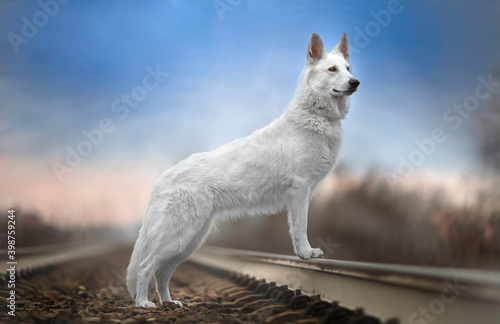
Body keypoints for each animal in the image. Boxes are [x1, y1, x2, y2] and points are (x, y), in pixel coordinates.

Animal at [127, 33, 358, 308]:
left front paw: (305, 253)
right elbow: (300, 227)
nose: (355, 82)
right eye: (332, 69)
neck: (317, 117)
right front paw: (306, 254)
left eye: (348, 68)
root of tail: (161, 179)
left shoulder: (304, 193)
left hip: (189, 241)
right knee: (145, 267)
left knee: (161, 273)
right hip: (179, 238)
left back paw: (169, 303)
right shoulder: (299, 188)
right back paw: (143, 303)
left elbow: (298, 226)